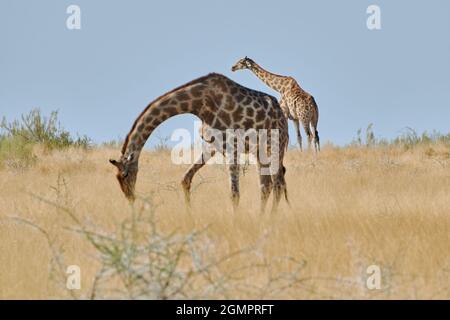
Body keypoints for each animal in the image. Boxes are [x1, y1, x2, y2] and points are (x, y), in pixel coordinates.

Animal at [110, 72, 290, 212]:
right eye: (117, 177)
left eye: (125, 175)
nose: (130, 198)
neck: (199, 104)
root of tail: (283, 116)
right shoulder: (212, 145)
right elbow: (185, 179)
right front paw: (190, 215)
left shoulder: (232, 147)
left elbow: (234, 194)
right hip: (259, 151)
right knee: (266, 185)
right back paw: (261, 218)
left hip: (276, 146)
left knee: (277, 184)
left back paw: (270, 219)